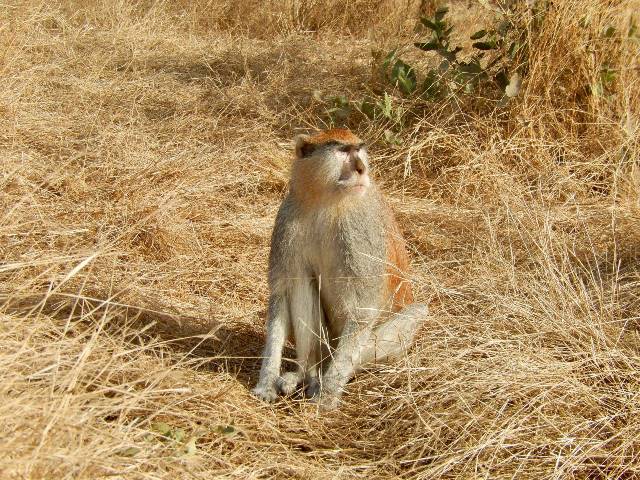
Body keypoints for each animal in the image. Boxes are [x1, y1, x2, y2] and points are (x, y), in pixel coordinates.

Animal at [252, 129, 428, 410]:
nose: (361, 168)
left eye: (359, 150)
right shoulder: (288, 221)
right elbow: (281, 292)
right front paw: (266, 381)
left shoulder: (359, 229)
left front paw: (327, 396)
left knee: (417, 312)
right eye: (343, 151)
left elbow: (362, 311)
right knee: (302, 281)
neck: (326, 201)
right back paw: (306, 374)